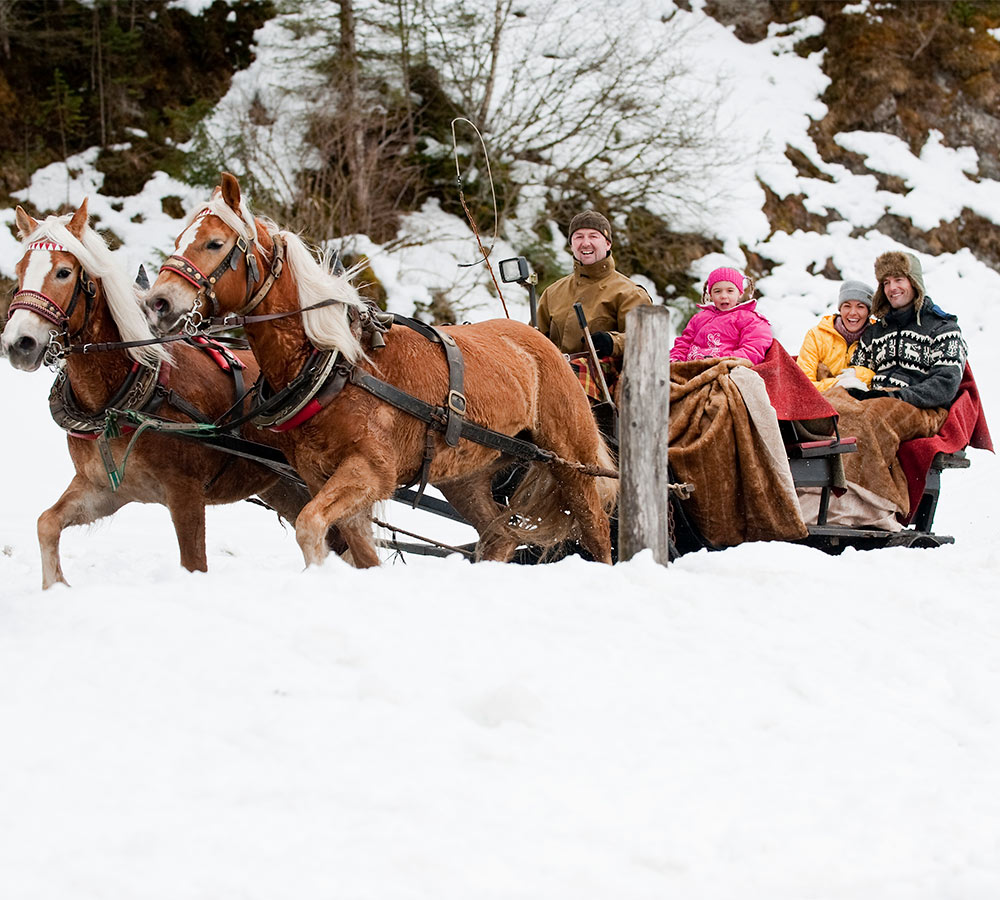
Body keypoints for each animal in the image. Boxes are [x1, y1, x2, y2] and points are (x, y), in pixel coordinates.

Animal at [1, 200, 334, 588]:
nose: (19, 343)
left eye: (64, 272)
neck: (120, 401)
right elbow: (46, 523)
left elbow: (194, 563)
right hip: (282, 486)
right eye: (19, 270)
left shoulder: (185, 494)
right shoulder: (102, 488)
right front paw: (56, 586)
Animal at [142, 174, 616, 568]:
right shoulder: (320, 475)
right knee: (499, 535)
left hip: (572, 461)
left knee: (596, 531)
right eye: (181, 238)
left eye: (214, 243)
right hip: (467, 475)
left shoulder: (372, 471)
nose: (158, 301)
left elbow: (310, 527)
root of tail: (542, 343)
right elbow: (358, 549)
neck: (334, 364)